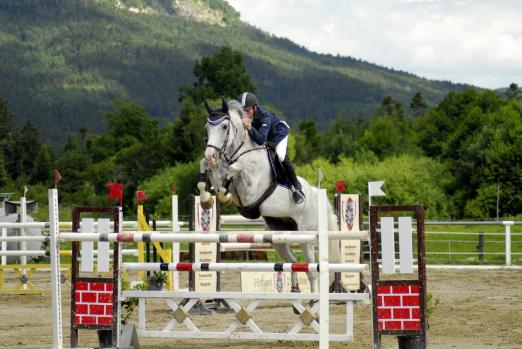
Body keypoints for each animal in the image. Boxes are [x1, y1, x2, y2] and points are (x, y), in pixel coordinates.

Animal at [197, 99, 340, 292]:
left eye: (225, 126)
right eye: (207, 128)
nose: (211, 155)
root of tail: (316, 194)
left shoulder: (250, 192)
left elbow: (235, 168)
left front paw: (223, 193)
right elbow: (208, 169)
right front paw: (206, 198)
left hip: (306, 236)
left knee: (311, 270)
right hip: (278, 237)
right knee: (292, 262)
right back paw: (295, 290)